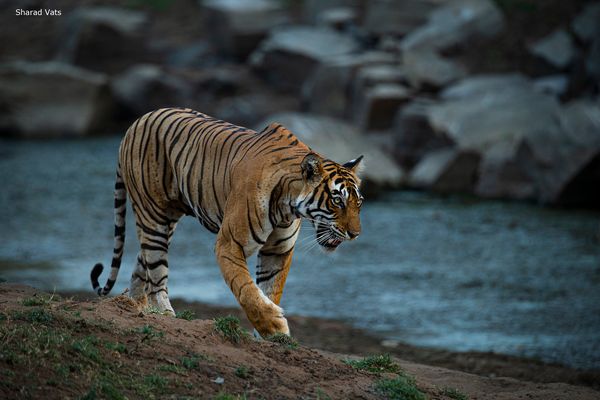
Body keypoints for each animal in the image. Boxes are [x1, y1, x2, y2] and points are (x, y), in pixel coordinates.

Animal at [91, 107, 364, 338]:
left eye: (358, 202)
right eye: (337, 201)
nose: (356, 234)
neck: (288, 205)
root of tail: (136, 122)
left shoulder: (278, 250)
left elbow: (270, 290)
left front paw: (267, 337)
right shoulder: (230, 243)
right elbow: (246, 289)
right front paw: (274, 326)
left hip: (166, 221)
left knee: (143, 262)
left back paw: (134, 307)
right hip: (153, 215)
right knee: (156, 271)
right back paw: (164, 314)